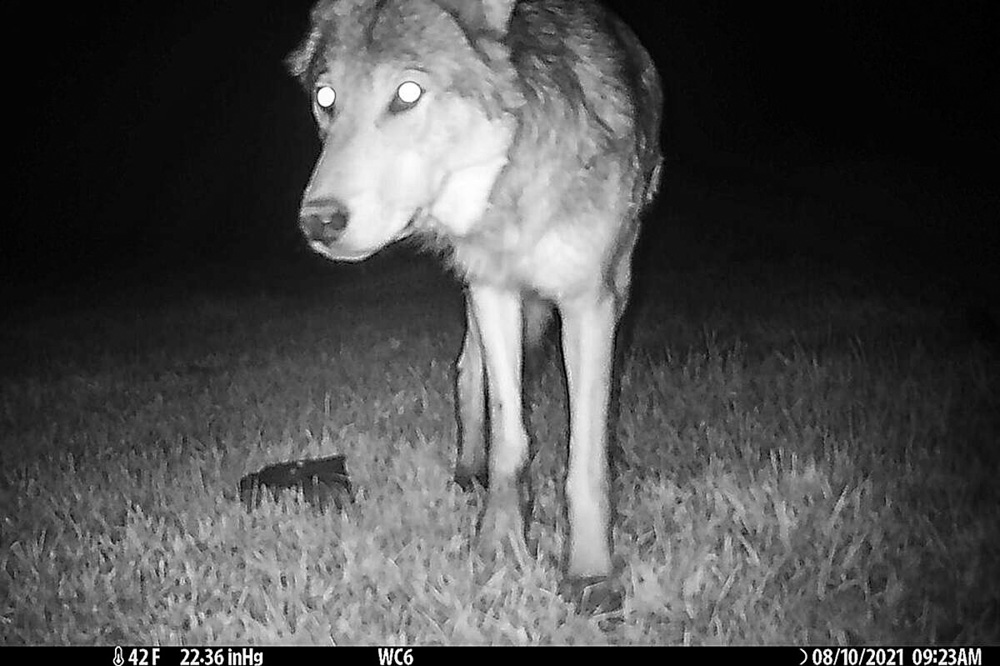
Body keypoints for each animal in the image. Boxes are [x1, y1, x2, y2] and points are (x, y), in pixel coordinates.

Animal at [287, 0, 662, 610]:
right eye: (326, 98)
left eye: (407, 93)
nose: (317, 222)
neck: (508, 186)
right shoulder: (493, 289)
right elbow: (509, 438)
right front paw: (500, 542)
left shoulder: (589, 299)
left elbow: (585, 462)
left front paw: (590, 575)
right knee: (467, 369)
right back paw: (468, 469)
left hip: (621, 279)